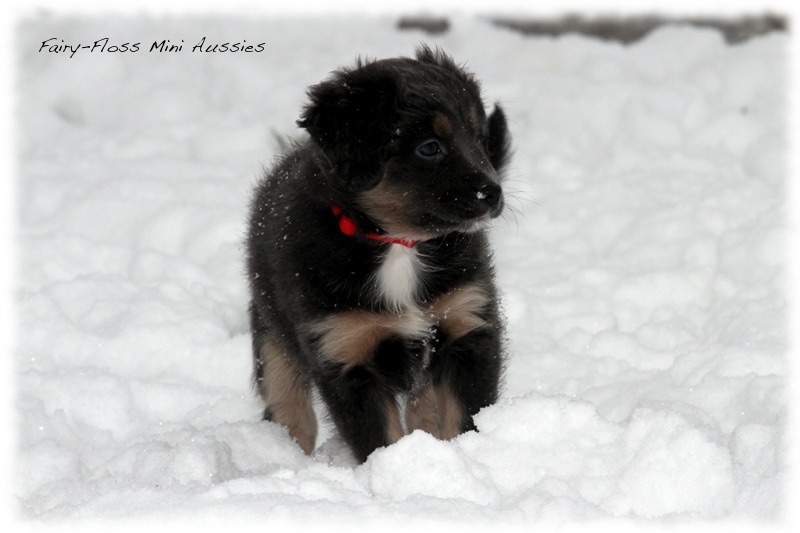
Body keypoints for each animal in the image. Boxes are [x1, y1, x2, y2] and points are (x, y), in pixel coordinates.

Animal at [247, 44, 512, 462]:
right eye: (429, 148)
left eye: (478, 137)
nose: (493, 193)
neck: (400, 245)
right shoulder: (345, 353)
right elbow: (381, 437)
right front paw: (394, 469)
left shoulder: (466, 325)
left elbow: (464, 416)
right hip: (271, 332)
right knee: (290, 408)